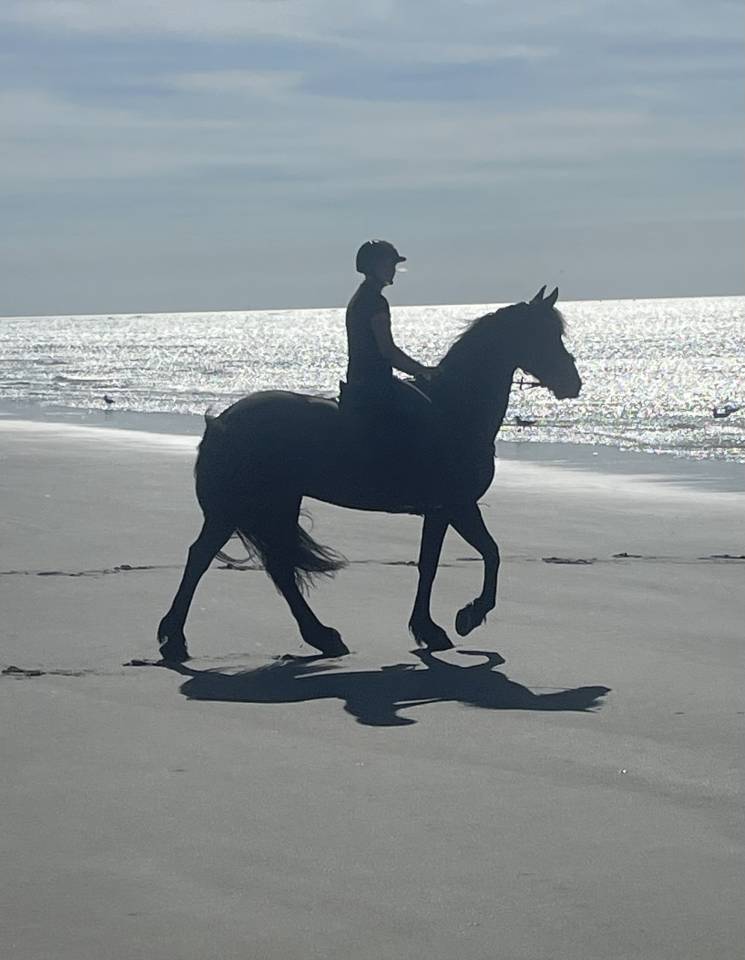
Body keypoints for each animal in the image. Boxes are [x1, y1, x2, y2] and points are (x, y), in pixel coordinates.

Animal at [158, 286, 581, 662]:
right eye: (543, 335)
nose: (573, 383)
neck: (456, 409)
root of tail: (220, 422)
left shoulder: (440, 511)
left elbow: (433, 564)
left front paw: (429, 628)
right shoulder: (456, 506)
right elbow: (487, 555)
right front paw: (466, 617)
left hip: (275, 504)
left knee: (276, 567)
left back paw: (321, 637)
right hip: (240, 508)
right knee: (203, 558)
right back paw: (175, 638)